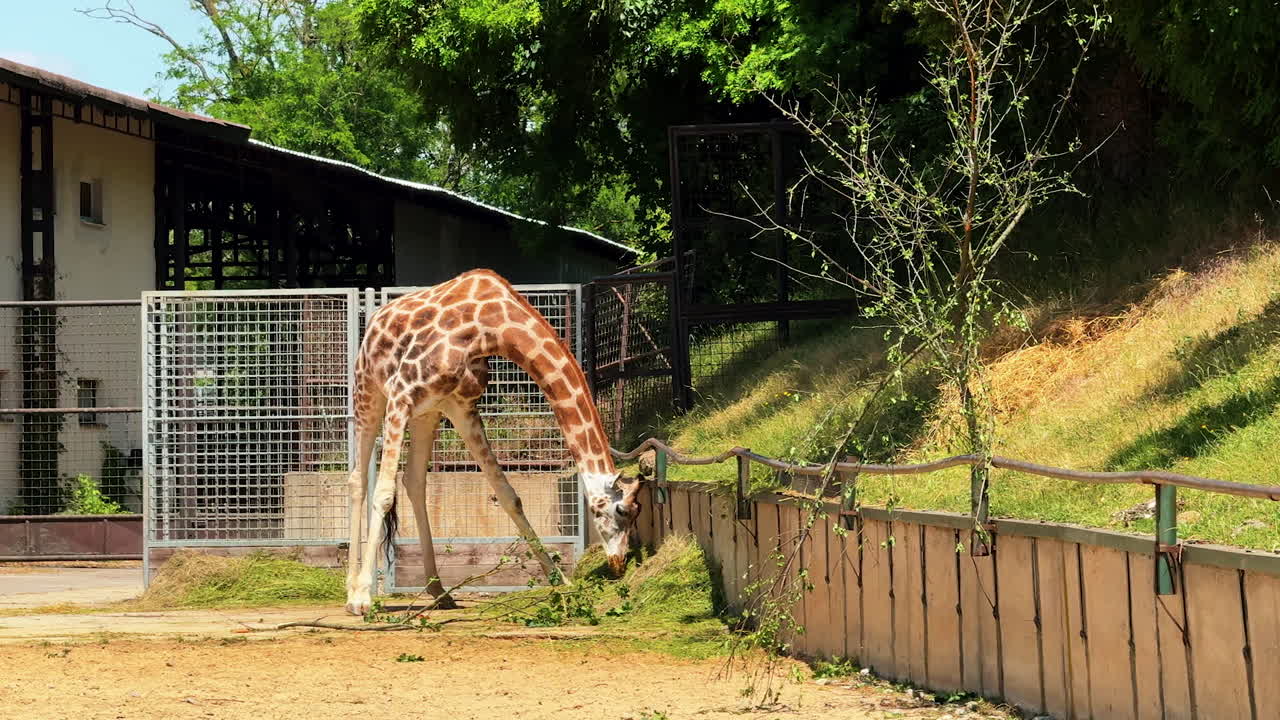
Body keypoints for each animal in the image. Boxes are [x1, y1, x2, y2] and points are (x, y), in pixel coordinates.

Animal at [344, 269, 641, 615]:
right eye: (620, 511)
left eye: (636, 513)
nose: (619, 564)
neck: (490, 325)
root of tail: (376, 319)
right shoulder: (401, 394)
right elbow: (382, 494)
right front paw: (363, 598)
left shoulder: (461, 407)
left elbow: (508, 495)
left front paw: (560, 580)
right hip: (369, 391)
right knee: (358, 481)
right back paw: (352, 591)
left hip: (427, 413)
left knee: (414, 480)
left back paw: (439, 591)